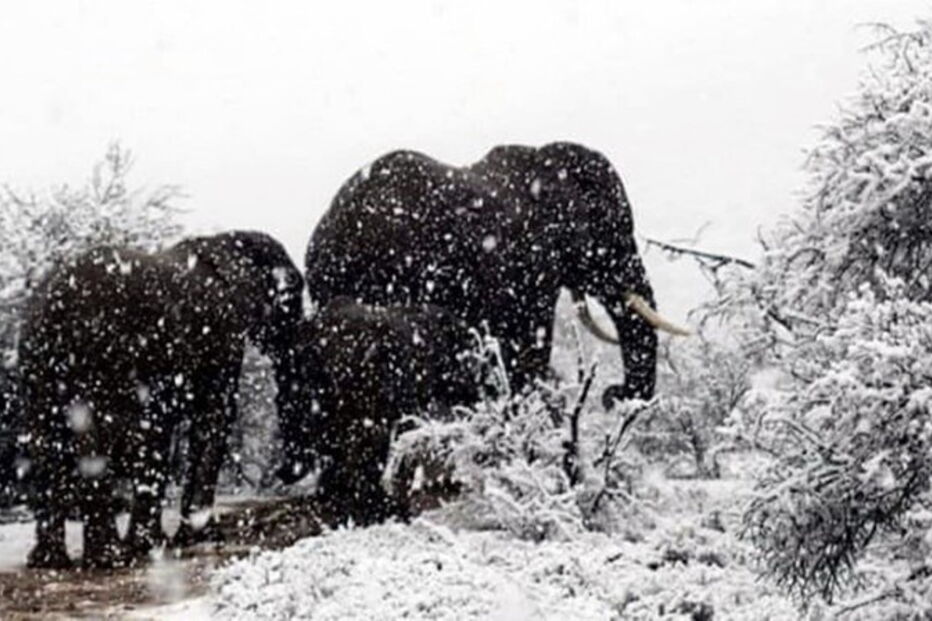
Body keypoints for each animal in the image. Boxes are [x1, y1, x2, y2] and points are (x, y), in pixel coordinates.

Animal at [19, 230, 304, 568]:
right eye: (293, 295)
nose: (281, 474)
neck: (225, 240)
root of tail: (53, 307)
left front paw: (165, 541)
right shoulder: (221, 335)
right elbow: (213, 417)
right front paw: (196, 537)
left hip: (39, 364)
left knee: (45, 443)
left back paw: (49, 562)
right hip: (101, 359)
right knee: (97, 440)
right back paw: (113, 559)